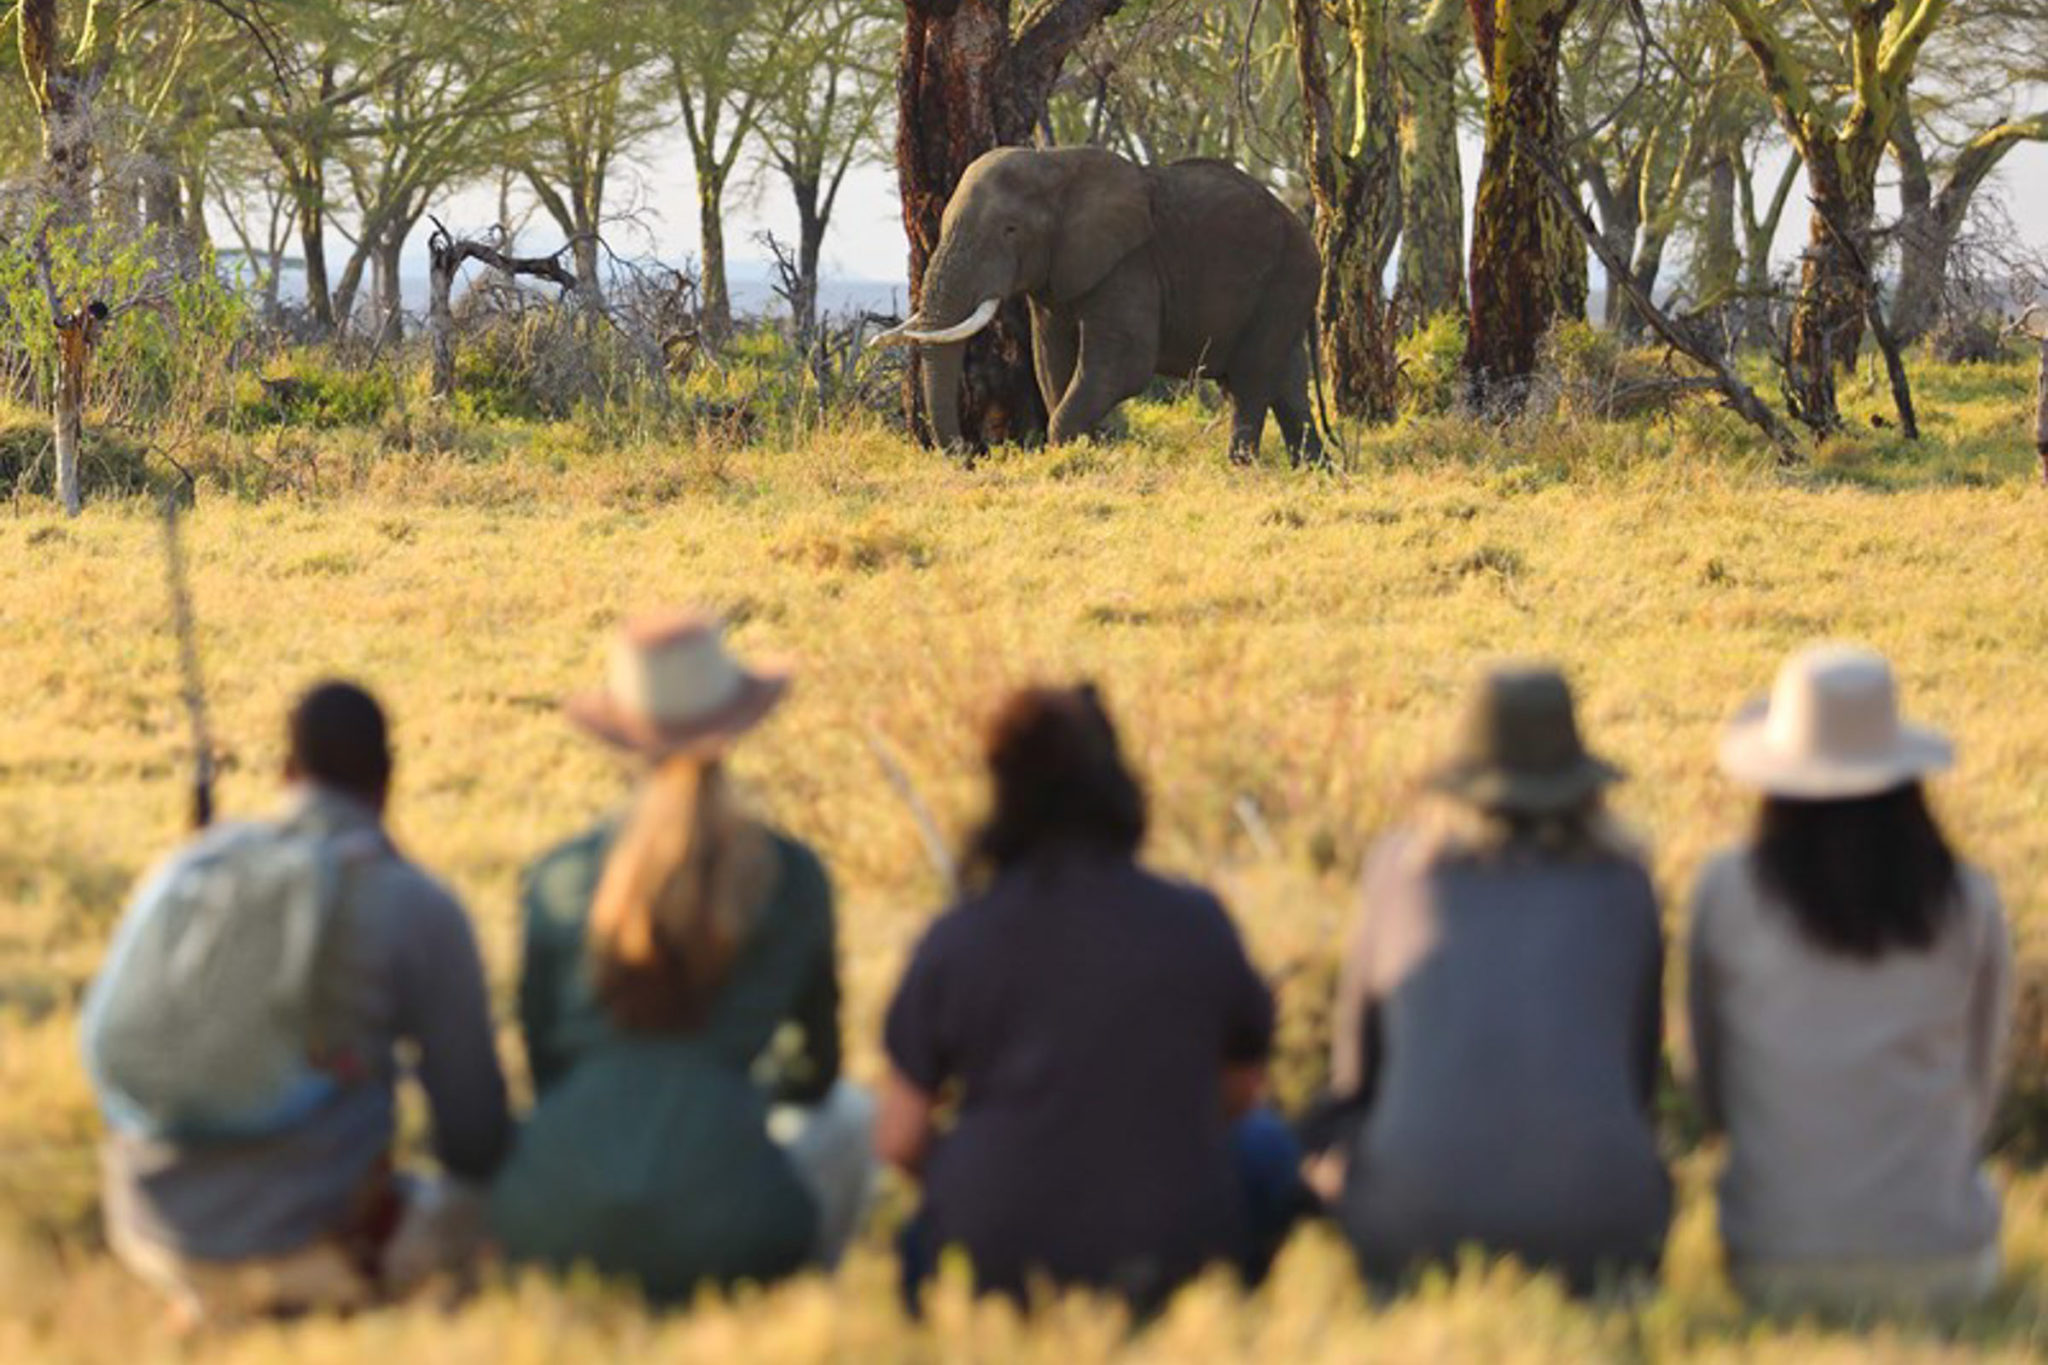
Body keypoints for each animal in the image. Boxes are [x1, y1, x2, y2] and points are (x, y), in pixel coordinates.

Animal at [872, 147, 1324, 467]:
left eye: (1010, 230)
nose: (969, 456)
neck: (1054, 163)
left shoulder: (1130, 264)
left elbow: (1124, 364)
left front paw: (1070, 455)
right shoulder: (1055, 279)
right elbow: (1051, 362)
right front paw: (1081, 456)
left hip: (1287, 279)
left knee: (1251, 380)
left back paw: (1241, 468)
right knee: (1287, 384)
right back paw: (1314, 470)